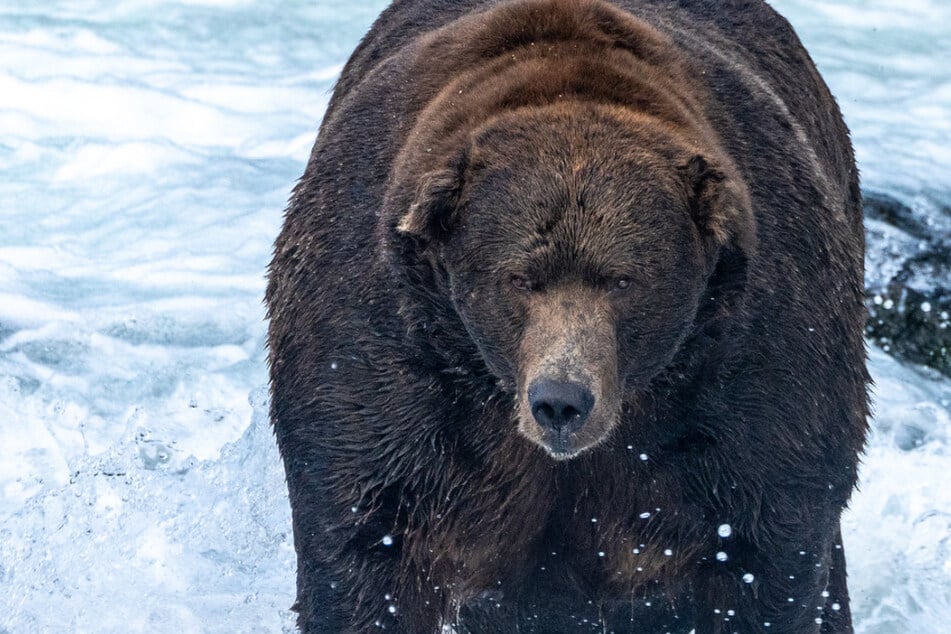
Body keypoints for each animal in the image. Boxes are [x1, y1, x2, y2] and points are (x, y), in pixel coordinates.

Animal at [266, 0, 869, 632]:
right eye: (518, 279)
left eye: (623, 280)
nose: (561, 400)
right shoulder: (391, 346)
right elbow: (369, 537)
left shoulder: (751, 359)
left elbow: (763, 550)